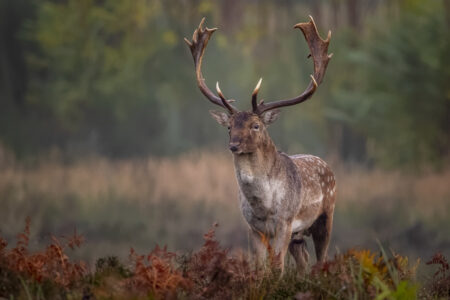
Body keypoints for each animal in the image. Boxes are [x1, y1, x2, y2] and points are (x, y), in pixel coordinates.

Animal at [185, 17, 336, 274]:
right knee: (304, 262)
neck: (263, 206)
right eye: (229, 126)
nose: (234, 145)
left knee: (321, 260)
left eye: (256, 125)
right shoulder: (253, 227)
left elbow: (277, 266)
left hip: (325, 216)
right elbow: (259, 266)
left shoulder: (285, 221)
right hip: (298, 236)